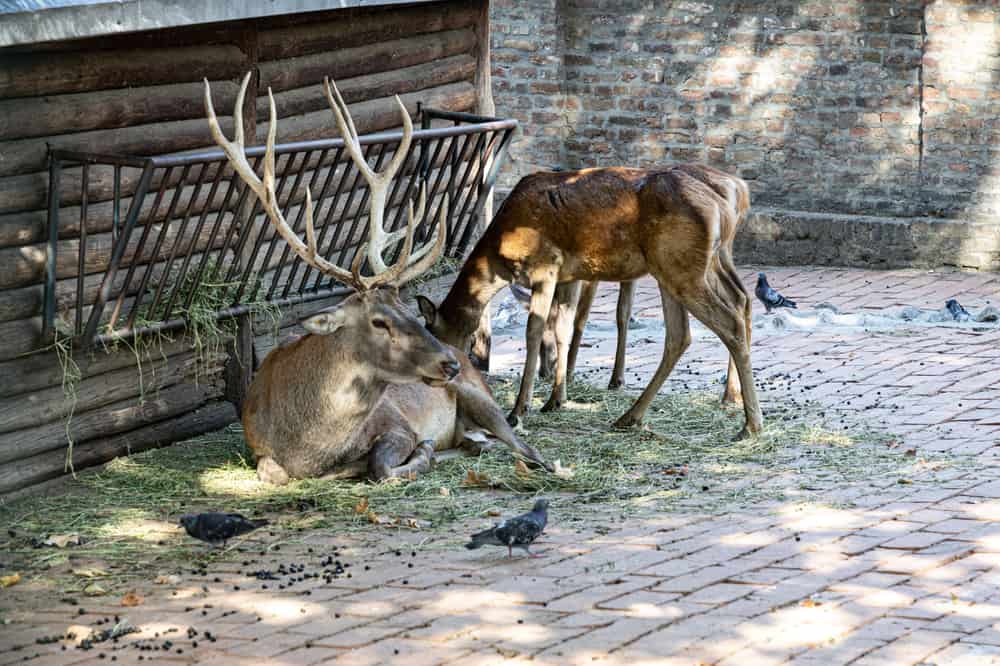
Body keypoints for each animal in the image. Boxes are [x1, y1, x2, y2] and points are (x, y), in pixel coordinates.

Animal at [204, 72, 549, 483]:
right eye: (379, 322)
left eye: (409, 311)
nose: (448, 362)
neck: (307, 445)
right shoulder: (260, 449)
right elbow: (274, 472)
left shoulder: (397, 423)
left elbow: (381, 465)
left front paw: (421, 453)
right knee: (477, 441)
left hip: (479, 397)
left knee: (524, 446)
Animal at [416, 164, 763, 438]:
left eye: (433, 333)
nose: (441, 375)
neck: (500, 253)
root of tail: (727, 200)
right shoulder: (569, 276)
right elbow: (563, 328)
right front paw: (555, 400)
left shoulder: (546, 265)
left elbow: (534, 331)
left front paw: (519, 410)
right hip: (691, 265)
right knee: (713, 316)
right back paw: (631, 416)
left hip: (682, 266)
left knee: (728, 321)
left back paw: (750, 424)